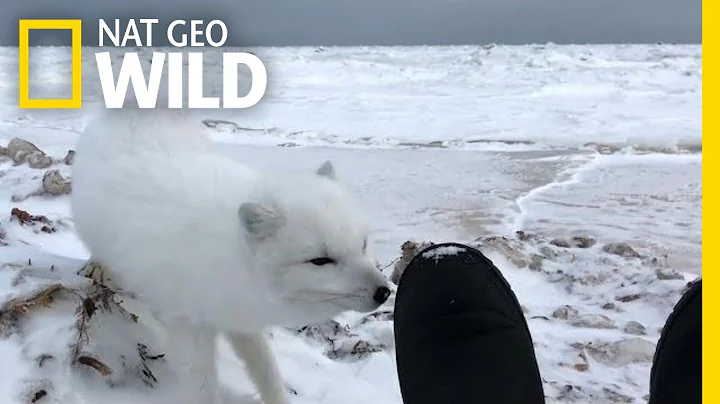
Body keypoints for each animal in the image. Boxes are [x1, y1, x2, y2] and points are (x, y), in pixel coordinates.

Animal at [70, 108, 391, 404]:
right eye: (321, 260)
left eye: (363, 244)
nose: (384, 291)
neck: (236, 260)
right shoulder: (189, 324)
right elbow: (202, 387)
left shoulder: (239, 316)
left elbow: (266, 369)